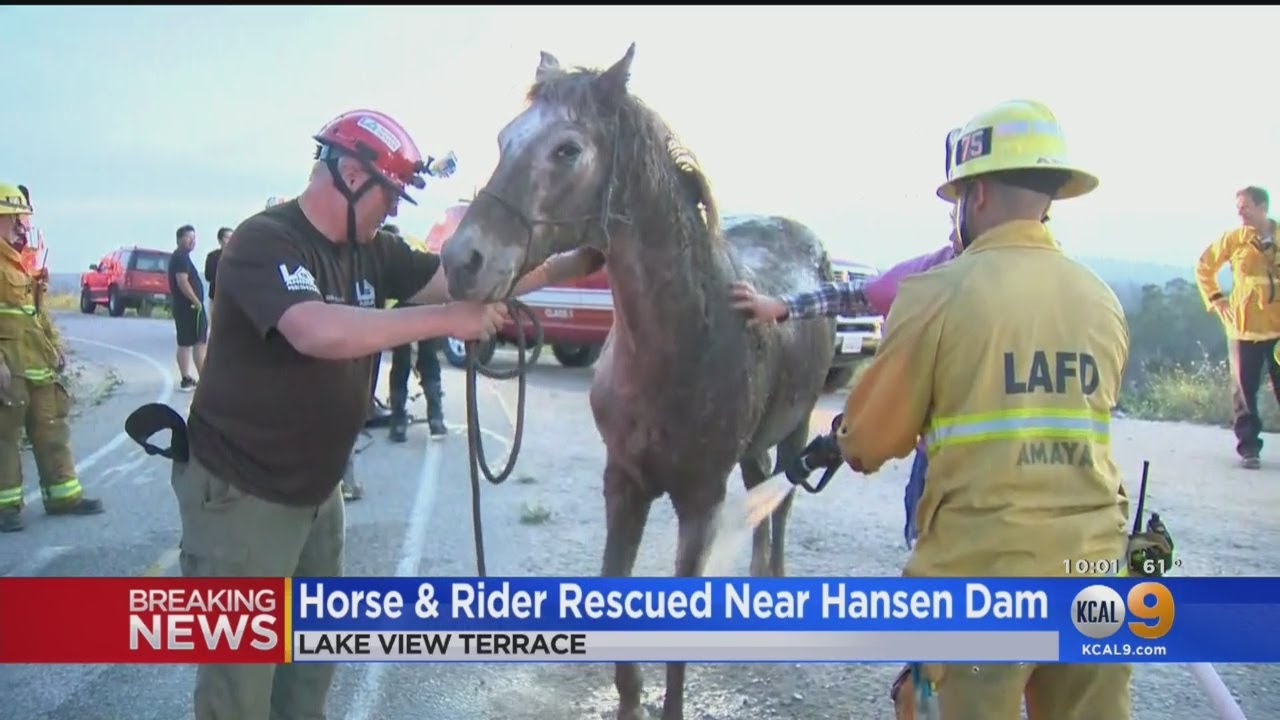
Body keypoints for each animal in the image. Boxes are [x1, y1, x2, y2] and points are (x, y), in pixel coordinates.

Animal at [440, 44, 837, 720]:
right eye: (503, 138)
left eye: (567, 149)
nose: (461, 261)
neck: (679, 345)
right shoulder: (624, 481)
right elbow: (612, 584)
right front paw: (629, 700)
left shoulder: (699, 497)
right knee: (763, 490)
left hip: (799, 423)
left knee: (782, 502)